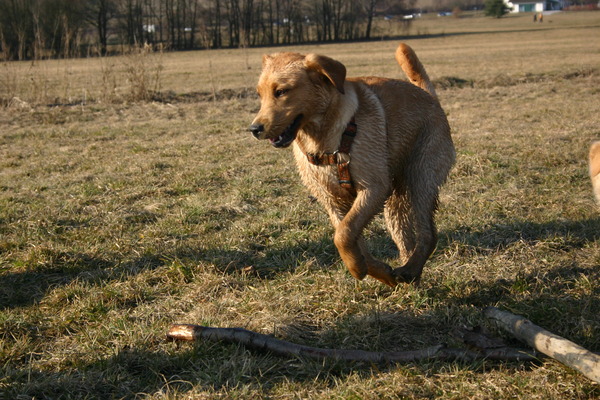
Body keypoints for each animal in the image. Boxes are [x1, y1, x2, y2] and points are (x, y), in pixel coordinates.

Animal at [249, 43, 455, 286]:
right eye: (259, 94)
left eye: (281, 91)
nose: (254, 129)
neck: (324, 141)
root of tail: (429, 95)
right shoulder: (333, 201)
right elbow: (352, 240)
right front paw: (380, 272)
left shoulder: (373, 188)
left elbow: (343, 235)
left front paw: (357, 269)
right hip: (394, 204)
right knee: (406, 238)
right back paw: (408, 274)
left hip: (421, 178)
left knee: (428, 234)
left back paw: (411, 269)